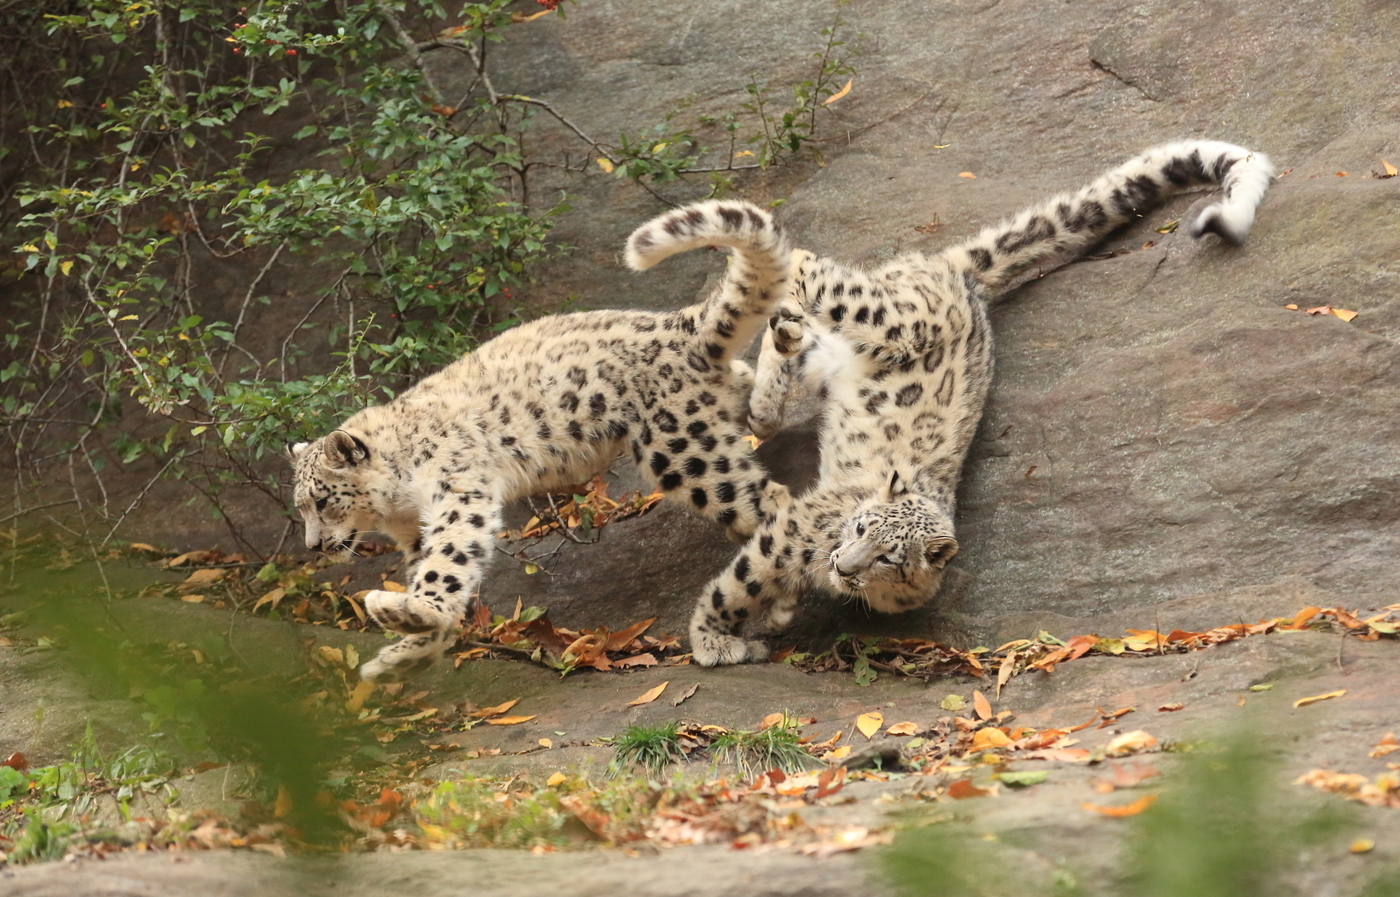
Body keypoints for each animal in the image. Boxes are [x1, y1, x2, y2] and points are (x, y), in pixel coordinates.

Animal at [287, 198, 789, 682]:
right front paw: (402, 655)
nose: (313, 546)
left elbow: (448, 558)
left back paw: (742, 627)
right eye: (302, 506)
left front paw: (409, 610)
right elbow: (439, 573)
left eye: (323, 501)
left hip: (684, 452)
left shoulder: (459, 490)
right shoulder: (414, 532)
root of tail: (676, 325)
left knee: (774, 502)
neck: (397, 508)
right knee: (747, 391)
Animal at [683, 139, 1276, 666]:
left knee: (794, 336)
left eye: (888, 556)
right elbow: (736, 588)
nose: (847, 567)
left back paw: (772, 370)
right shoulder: (788, 534)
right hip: (885, 320)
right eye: (860, 527)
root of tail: (960, 278)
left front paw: (780, 612)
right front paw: (713, 642)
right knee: (806, 262)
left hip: (837, 353)